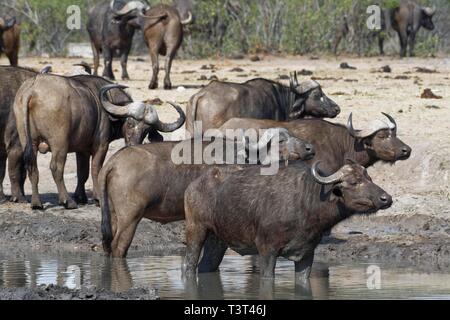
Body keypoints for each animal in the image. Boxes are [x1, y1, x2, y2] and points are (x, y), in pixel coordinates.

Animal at [99, 130, 316, 258]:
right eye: (281, 140)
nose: (309, 148)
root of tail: (114, 161)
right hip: (130, 218)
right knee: (118, 247)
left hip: (113, 216)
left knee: (107, 245)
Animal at [185, 161, 392, 278]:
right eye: (354, 182)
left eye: (370, 178)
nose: (386, 198)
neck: (307, 205)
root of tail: (193, 185)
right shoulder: (267, 251)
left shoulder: (306, 255)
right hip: (196, 230)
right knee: (189, 266)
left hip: (217, 241)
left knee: (205, 266)